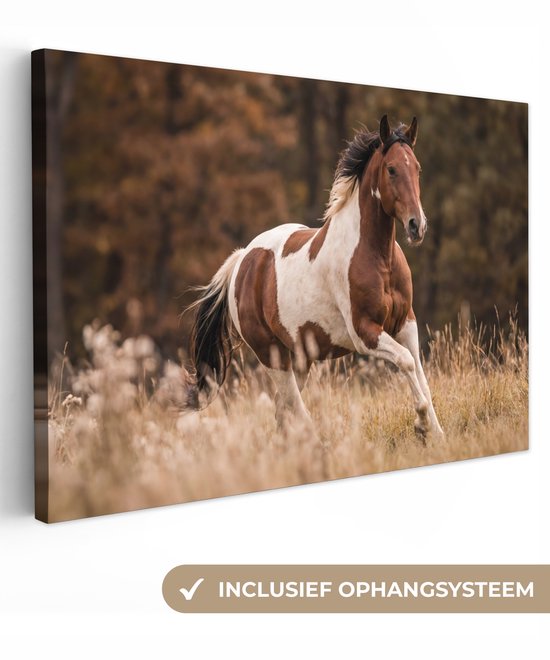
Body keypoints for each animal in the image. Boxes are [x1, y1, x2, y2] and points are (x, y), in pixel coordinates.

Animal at [187, 115, 443, 439]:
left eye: (417, 168)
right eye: (392, 169)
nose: (416, 226)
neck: (377, 258)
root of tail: (242, 260)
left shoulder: (405, 324)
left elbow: (421, 375)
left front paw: (436, 433)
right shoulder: (365, 333)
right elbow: (407, 362)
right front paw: (421, 424)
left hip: (300, 359)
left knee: (283, 412)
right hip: (273, 356)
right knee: (294, 410)